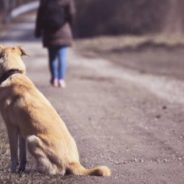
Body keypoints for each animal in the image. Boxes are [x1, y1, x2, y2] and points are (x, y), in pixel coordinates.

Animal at [0, 45, 110, 176]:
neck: (13, 72)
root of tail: (73, 162)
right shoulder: (21, 130)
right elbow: (22, 156)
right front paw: (20, 169)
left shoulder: (11, 127)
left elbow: (13, 155)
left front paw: (12, 171)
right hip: (29, 138)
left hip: (32, 139)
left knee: (56, 170)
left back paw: (41, 170)